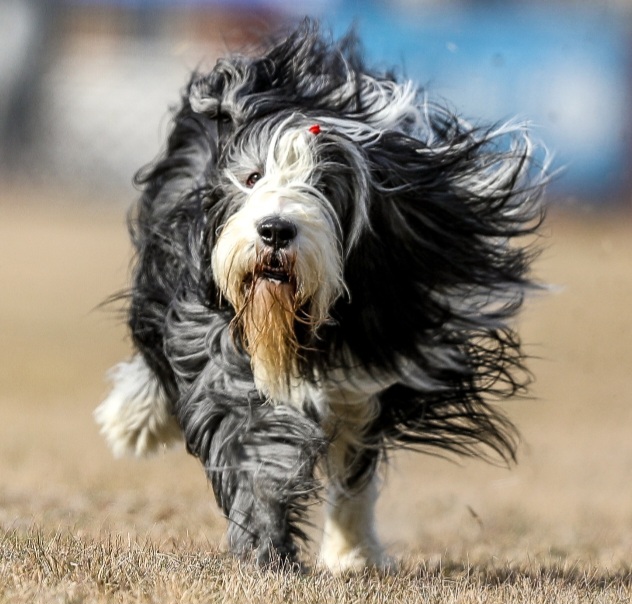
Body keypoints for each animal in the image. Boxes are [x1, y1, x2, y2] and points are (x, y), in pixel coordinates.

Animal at [94, 22, 544, 572]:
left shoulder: (374, 363)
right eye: (253, 177)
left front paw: (349, 552)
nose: (274, 230)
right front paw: (266, 544)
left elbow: (353, 464)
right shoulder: (216, 337)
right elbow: (250, 435)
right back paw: (132, 418)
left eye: (326, 186)